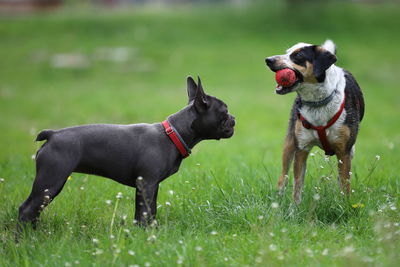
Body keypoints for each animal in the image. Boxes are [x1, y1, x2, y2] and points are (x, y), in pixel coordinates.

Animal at [18, 76, 236, 227]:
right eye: (224, 112)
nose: (234, 118)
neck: (173, 133)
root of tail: (53, 134)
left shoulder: (151, 186)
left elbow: (150, 211)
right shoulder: (146, 184)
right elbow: (144, 213)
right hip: (51, 180)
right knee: (27, 209)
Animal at [268, 39, 364, 204]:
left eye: (298, 55)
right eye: (287, 52)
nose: (268, 60)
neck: (318, 103)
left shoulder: (344, 151)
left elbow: (345, 184)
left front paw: (344, 205)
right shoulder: (302, 148)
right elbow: (297, 185)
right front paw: (294, 208)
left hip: (350, 151)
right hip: (289, 142)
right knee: (283, 177)